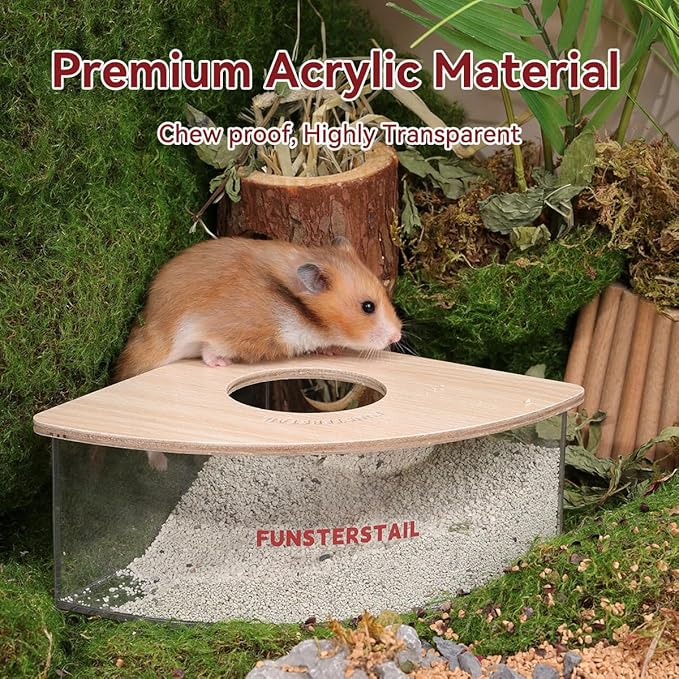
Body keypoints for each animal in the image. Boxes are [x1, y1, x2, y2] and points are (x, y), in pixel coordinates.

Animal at [114, 236, 402, 382]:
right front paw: (221, 363)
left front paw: (331, 350)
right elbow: (209, 348)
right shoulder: (221, 331)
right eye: (368, 307)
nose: (397, 336)